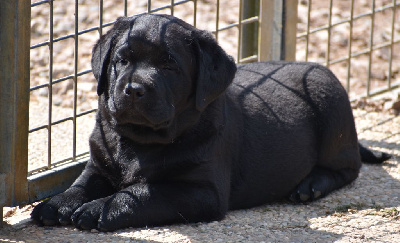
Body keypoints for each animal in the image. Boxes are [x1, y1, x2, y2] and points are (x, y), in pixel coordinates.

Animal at [32, 13, 390, 232]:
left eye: (169, 65)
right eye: (121, 59)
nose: (133, 89)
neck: (140, 141)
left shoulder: (201, 191)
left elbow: (142, 193)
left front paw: (98, 209)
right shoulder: (99, 162)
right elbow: (82, 184)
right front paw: (56, 204)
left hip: (332, 116)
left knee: (349, 167)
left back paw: (311, 185)